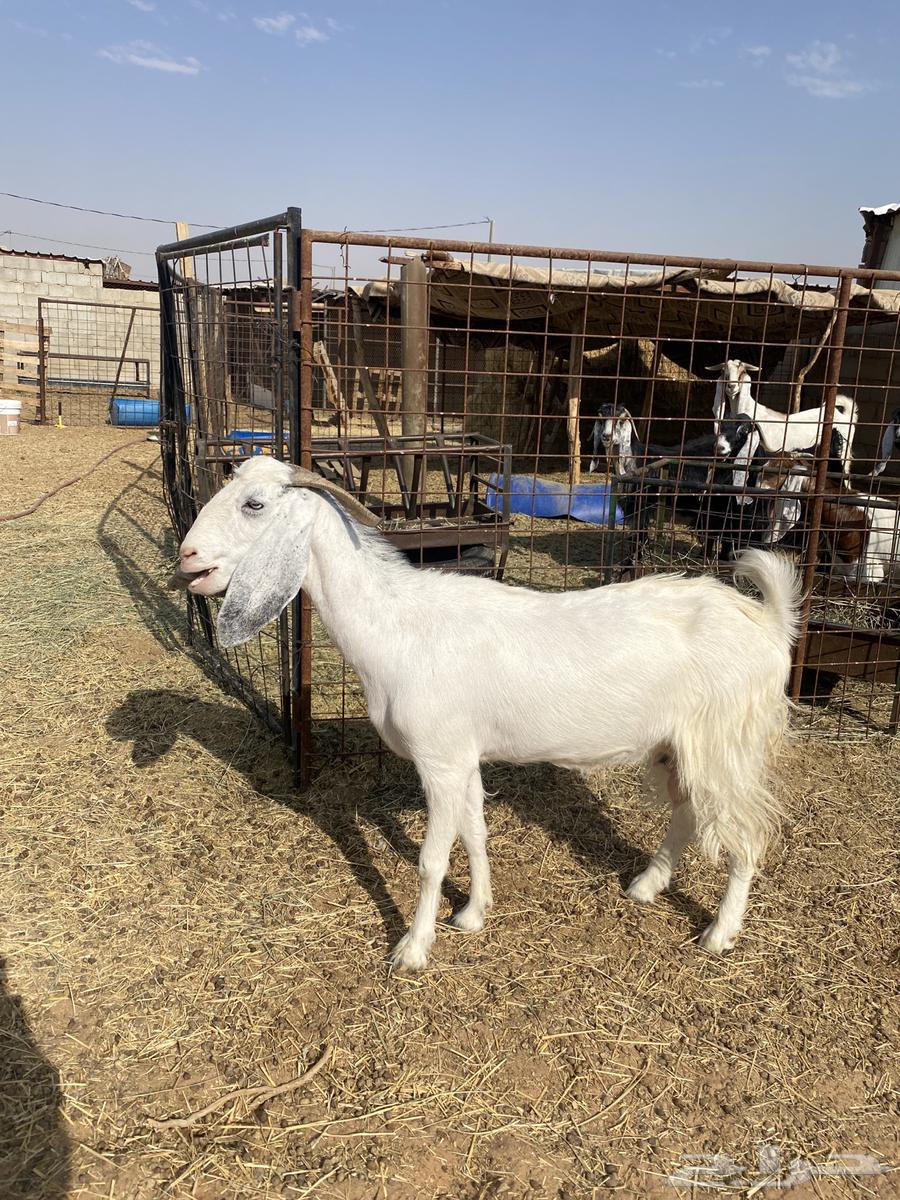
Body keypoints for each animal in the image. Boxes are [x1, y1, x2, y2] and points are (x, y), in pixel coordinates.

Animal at [177, 456, 800, 969]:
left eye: (254, 504)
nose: (187, 555)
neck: (397, 625)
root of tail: (769, 624)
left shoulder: (439, 758)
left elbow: (432, 858)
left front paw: (413, 949)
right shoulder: (464, 756)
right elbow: (475, 830)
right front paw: (473, 914)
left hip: (726, 743)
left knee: (746, 835)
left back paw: (719, 933)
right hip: (681, 746)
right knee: (689, 812)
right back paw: (646, 885)